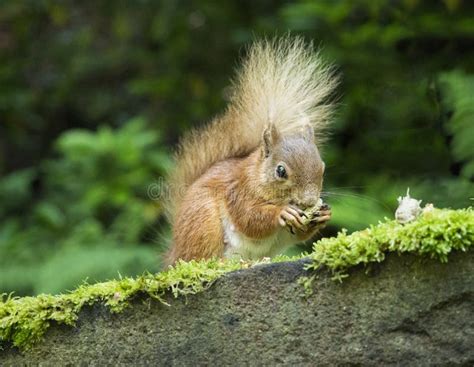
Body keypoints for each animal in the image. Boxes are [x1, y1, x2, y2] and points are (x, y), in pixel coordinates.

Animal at [163, 37, 336, 266]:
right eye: (281, 171)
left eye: (323, 169)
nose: (308, 201)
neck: (256, 175)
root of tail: (174, 252)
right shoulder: (237, 190)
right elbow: (249, 218)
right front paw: (282, 212)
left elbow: (298, 235)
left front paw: (323, 215)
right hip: (203, 222)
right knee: (198, 257)